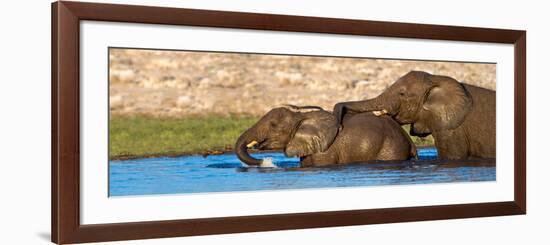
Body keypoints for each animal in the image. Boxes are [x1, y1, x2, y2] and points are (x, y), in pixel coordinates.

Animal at [235, 104, 416, 167]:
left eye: (273, 125)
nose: (266, 162)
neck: (300, 117)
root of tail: (410, 141)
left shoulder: (325, 151)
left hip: (391, 148)